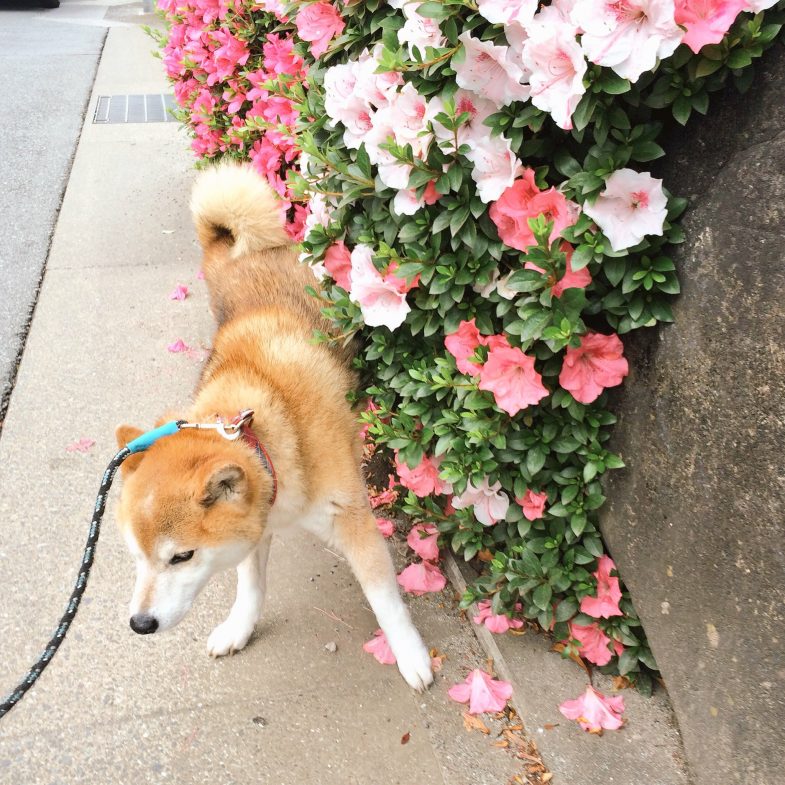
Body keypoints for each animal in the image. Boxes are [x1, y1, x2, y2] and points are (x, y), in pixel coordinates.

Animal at [115, 162, 434, 688]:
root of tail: (248, 250)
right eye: (137, 556)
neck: (261, 429)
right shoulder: (254, 524)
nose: (140, 624)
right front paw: (239, 628)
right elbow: (250, 587)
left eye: (181, 556)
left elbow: (385, 601)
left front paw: (409, 653)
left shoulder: (352, 520)